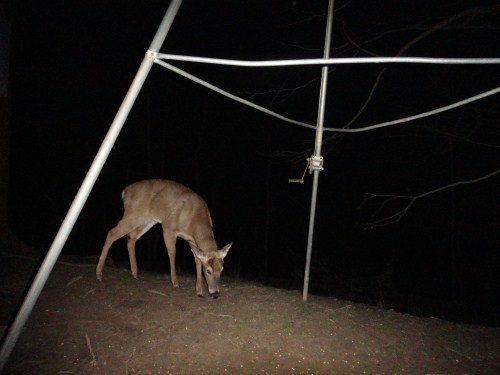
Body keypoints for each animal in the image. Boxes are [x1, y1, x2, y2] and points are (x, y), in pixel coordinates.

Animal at [95, 179, 232, 300]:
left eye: (221, 269)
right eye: (208, 271)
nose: (215, 294)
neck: (194, 218)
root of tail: (125, 191)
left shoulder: (192, 240)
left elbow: (197, 260)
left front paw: (199, 291)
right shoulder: (168, 227)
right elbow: (172, 252)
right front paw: (175, 282)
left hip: (148, 220)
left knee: (131, 237)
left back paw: (135, 273)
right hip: (133, 214)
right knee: (112, 233)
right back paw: (99, 274)